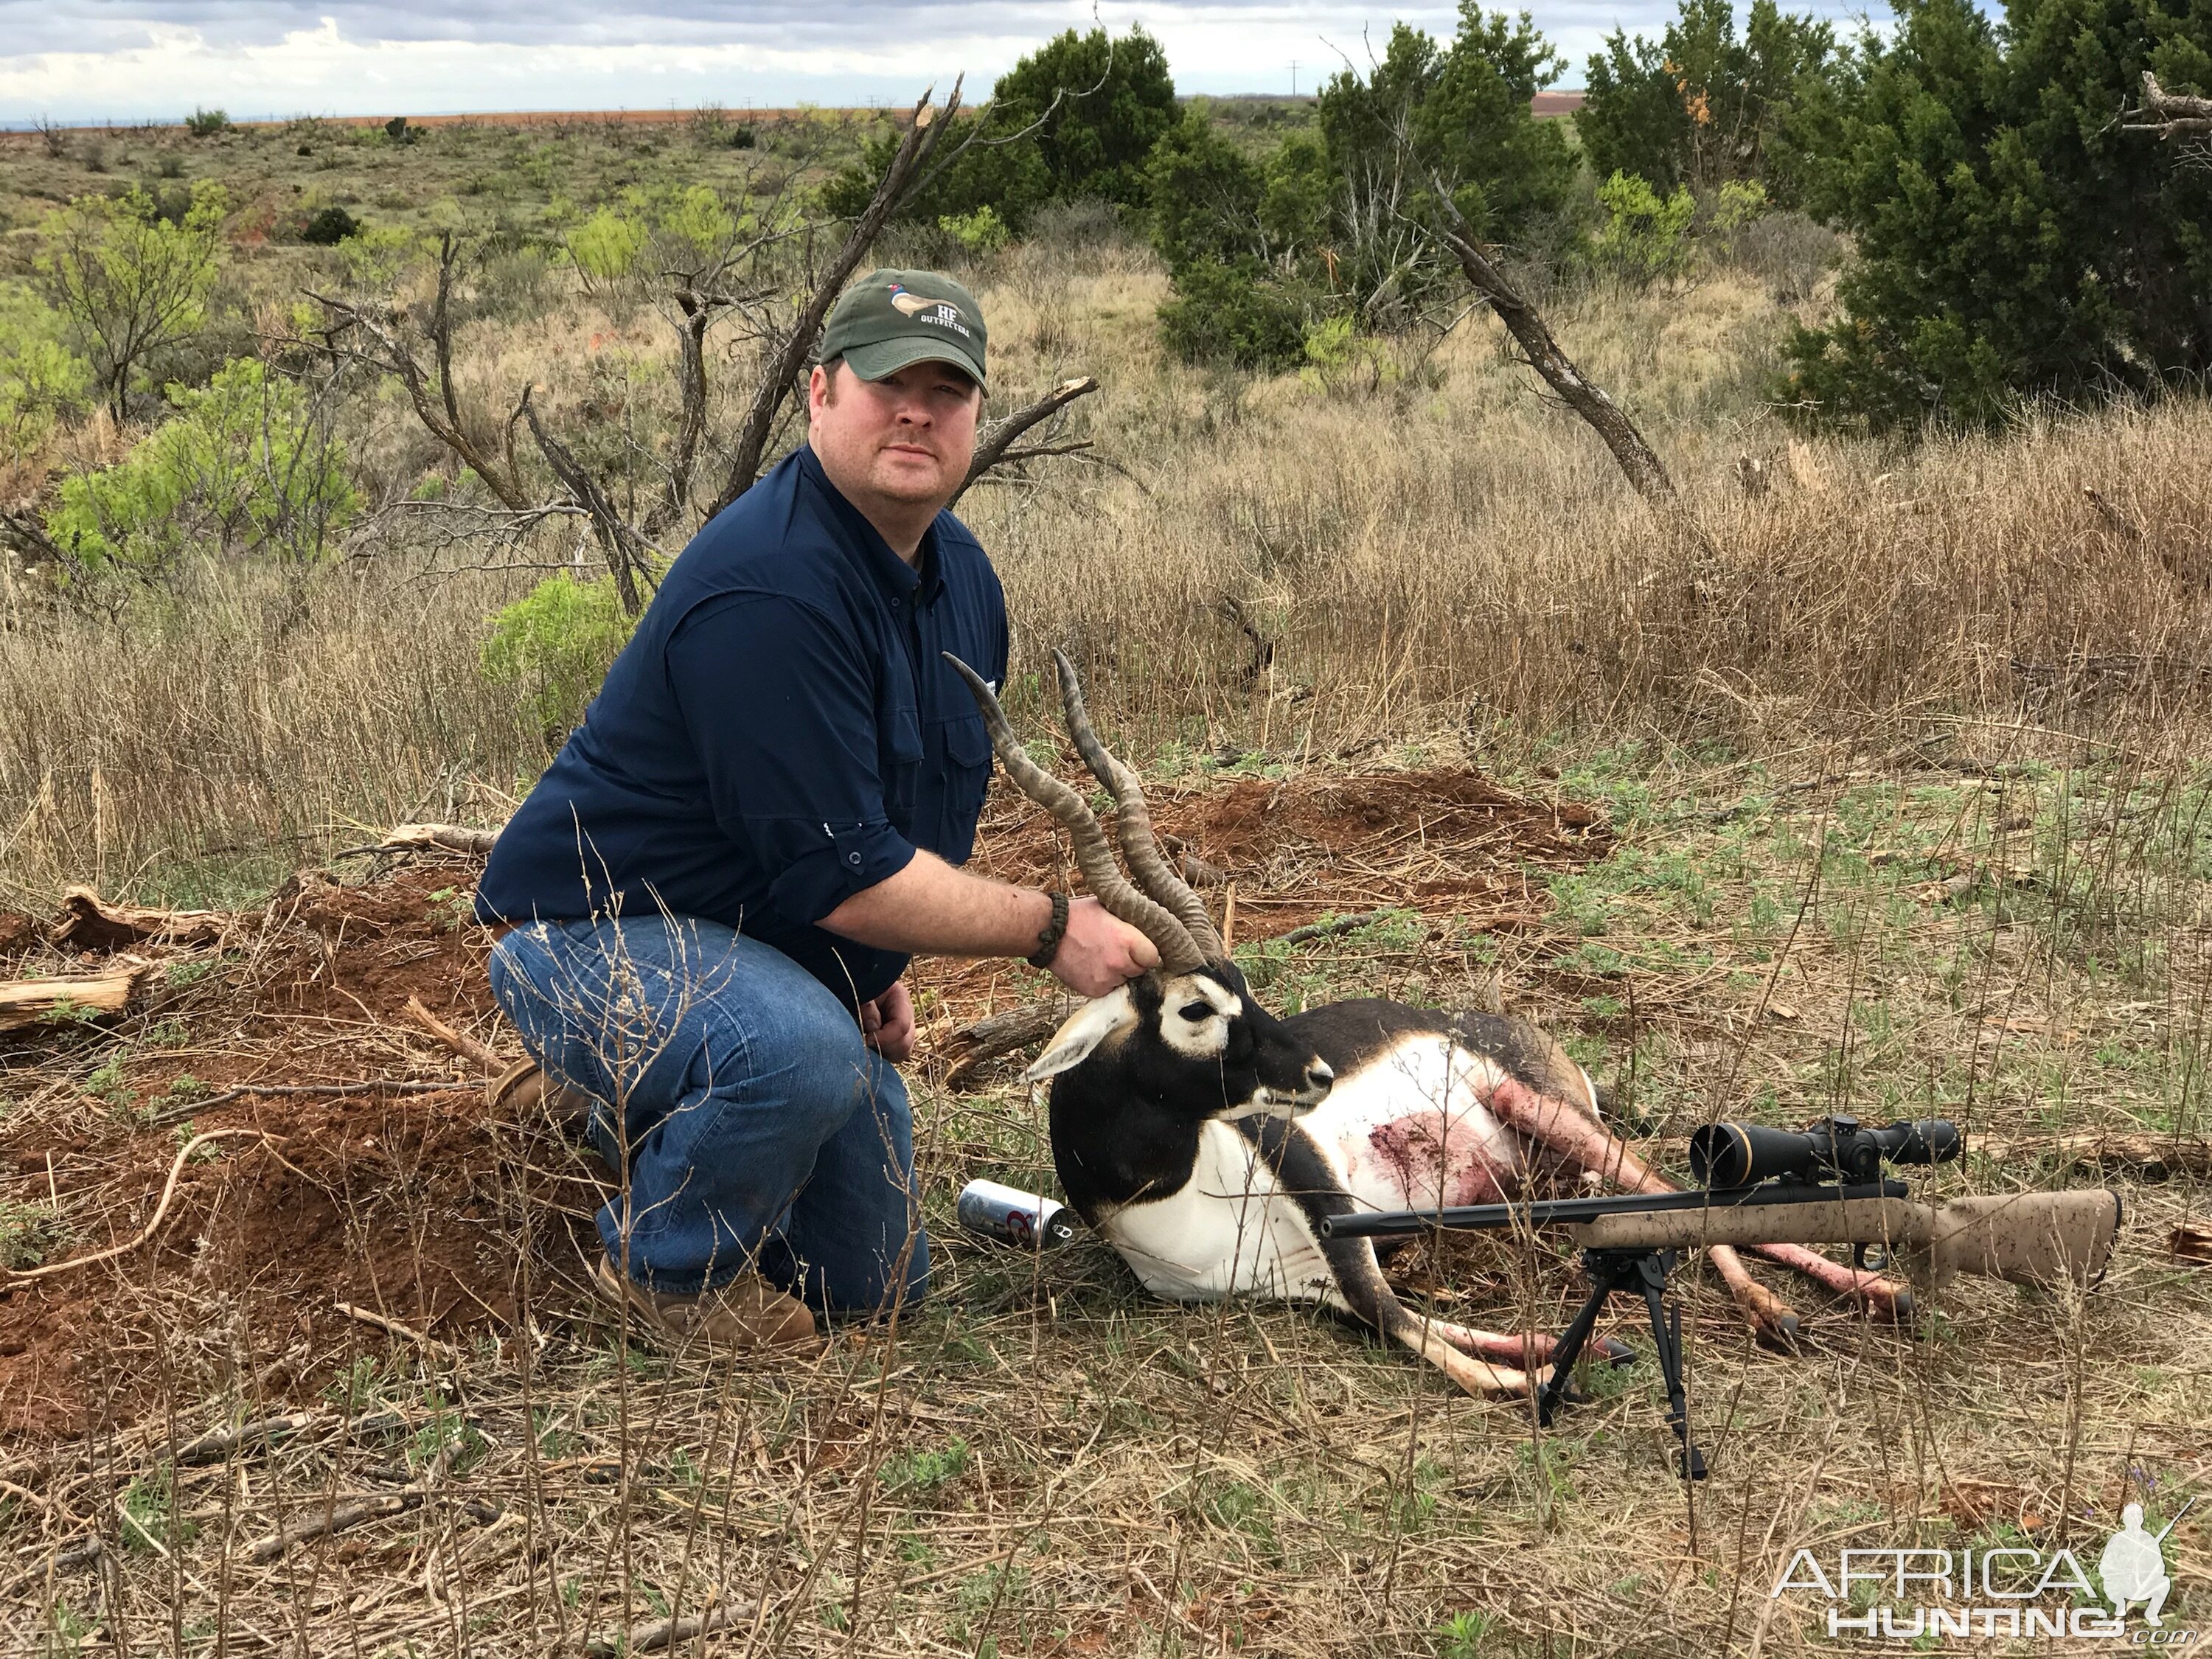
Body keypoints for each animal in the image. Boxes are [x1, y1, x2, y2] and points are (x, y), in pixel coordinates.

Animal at [942, 655, 1911, 1398]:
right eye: (1195, 1008)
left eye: (1242, 984)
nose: (1316, 1076)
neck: (1181, 1198)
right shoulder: (1313, 1287)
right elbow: (1414, 1326)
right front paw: (1578, 1348)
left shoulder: (1329, 1214)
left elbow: (1424, 1339)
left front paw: (1557, 1371)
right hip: (1544, 1176)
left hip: (1547, 1110)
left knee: (1687, 1196)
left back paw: (1821, 1302)